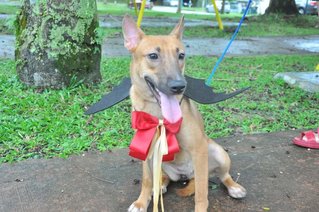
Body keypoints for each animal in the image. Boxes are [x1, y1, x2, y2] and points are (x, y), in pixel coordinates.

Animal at [123, 15, 248, 212]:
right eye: (153, 56)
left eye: (181, 55)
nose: (179, 86)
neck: (160, 116)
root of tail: (184, 176)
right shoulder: (146, 148)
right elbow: (147, 180)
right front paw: (141, 202)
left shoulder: (199, 149)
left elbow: (202, 193)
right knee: (163, 177)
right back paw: (161, 185)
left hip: (217, 153)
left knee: (222, 176)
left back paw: (234, 187)